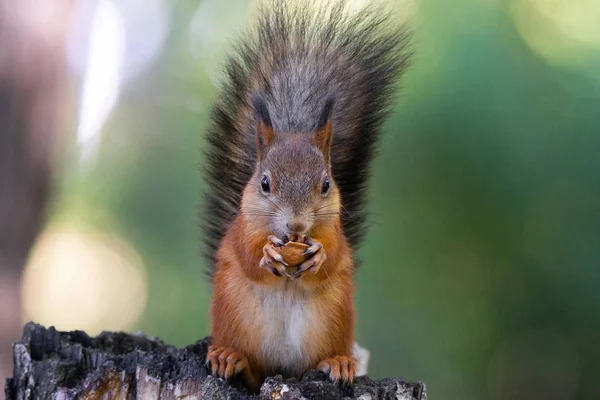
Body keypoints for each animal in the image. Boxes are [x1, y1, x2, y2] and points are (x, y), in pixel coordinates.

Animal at [199, 0, 410, 394]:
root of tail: (283, 369)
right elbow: (248, 256)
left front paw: (319, 256)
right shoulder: (240, 231)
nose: (296, 225)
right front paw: (267, 255)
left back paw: (338, 363)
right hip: (233, 313)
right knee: (252, 370)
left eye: (326, 184)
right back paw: (231, 358)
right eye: (265, 183)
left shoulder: (335, 232)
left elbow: (335, 255)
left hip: (333, 316)